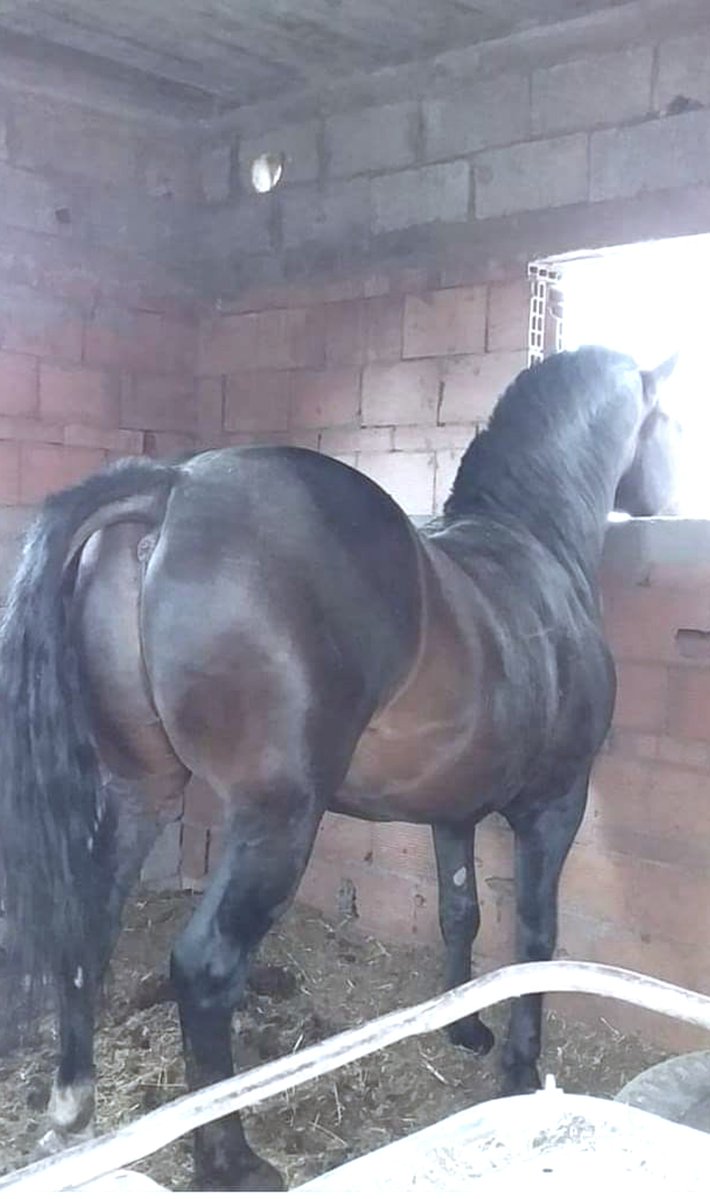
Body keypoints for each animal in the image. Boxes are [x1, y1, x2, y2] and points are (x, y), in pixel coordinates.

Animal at [0, 345, 680, 1190]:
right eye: (668, 421)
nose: (667, 497)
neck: (534, 551)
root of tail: (171, 489)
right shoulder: (555, 803)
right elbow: (534, 936)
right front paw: (520, 1070)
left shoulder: (452, 809)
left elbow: (460, 911)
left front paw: (464, 1029)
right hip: (277, 819)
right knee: (204, 966)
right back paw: (231, 1158)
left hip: (138, 790)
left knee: (87, 932)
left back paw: (71, 1114)